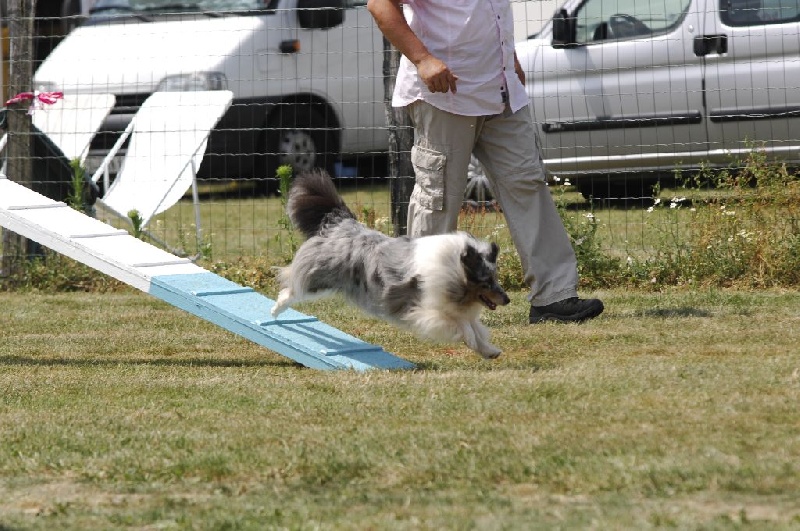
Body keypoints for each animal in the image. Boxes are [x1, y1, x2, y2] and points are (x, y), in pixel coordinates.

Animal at [268, 171, 506, 362]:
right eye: (486, 282)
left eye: (495, 279)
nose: (508, 299)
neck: (455, 274)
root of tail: (342, 222)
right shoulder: (427, 310)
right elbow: (464, 327)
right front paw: (473, 341)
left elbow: (476, 329)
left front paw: (490, 351)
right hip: (319, 278)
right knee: (291, 288)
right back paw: (275, 310)